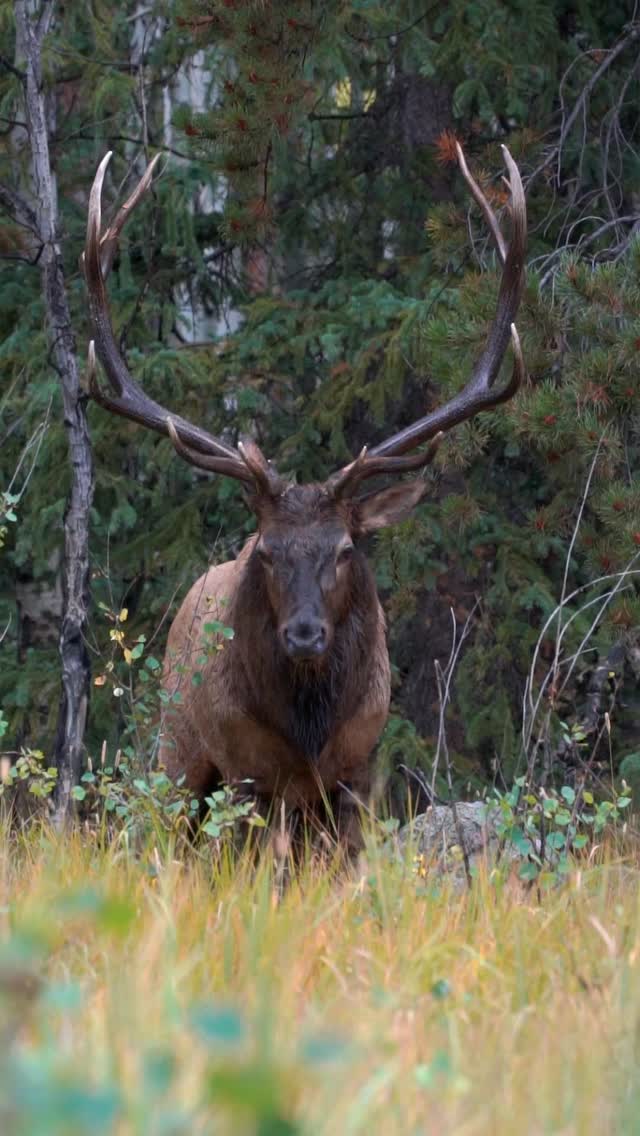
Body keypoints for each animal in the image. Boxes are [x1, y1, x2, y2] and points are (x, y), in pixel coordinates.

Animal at [83, 143, 526, 847]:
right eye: (266, 551)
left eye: (345, 548)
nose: (305, 633)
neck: (309, 731)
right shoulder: (247, 771)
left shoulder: (356, 772)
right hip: (178, 750)